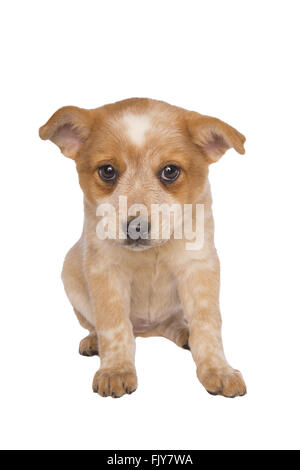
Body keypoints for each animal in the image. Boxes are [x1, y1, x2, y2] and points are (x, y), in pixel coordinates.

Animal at [39, 97, 246, 398]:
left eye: (170, 171)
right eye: (108, 171)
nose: (136, 226)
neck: (153, 254)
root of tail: (146, 330)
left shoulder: (198, 266)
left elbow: (207, 325)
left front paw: (219, 370)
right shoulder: (106, 270)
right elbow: (114, 325)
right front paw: (115, 370)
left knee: (174, 325)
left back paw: (184, 334)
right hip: (70, 270)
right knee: (102, 326)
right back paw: (94, 341)